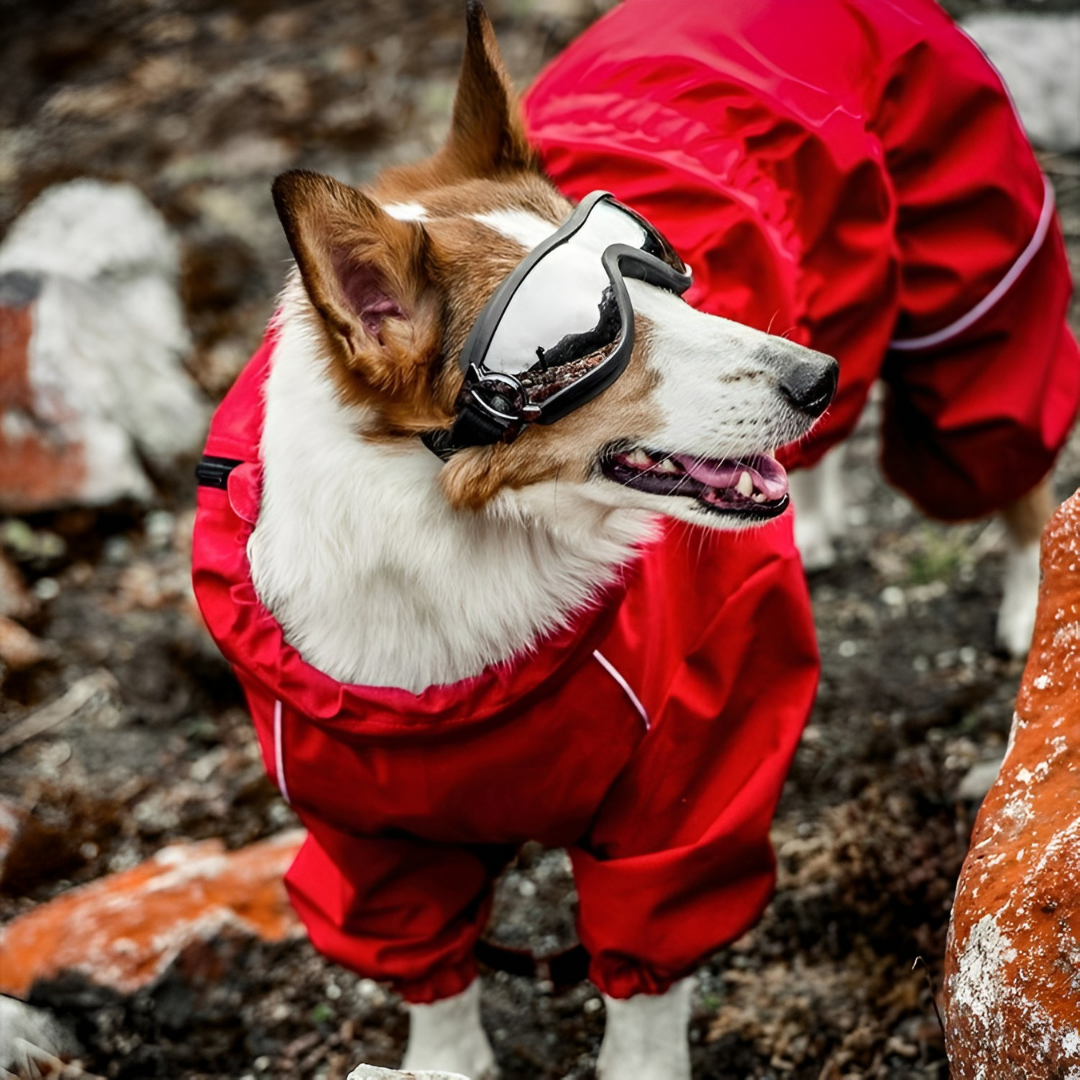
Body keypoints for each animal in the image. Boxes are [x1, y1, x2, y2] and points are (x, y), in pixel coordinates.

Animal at [190, 4, 838, 1075]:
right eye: (590, 343)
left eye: (668, 281)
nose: (817, 376)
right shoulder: (373, 843)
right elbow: (433, 975)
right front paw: (443, 1060)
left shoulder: (685, 780)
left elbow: (647, 976)